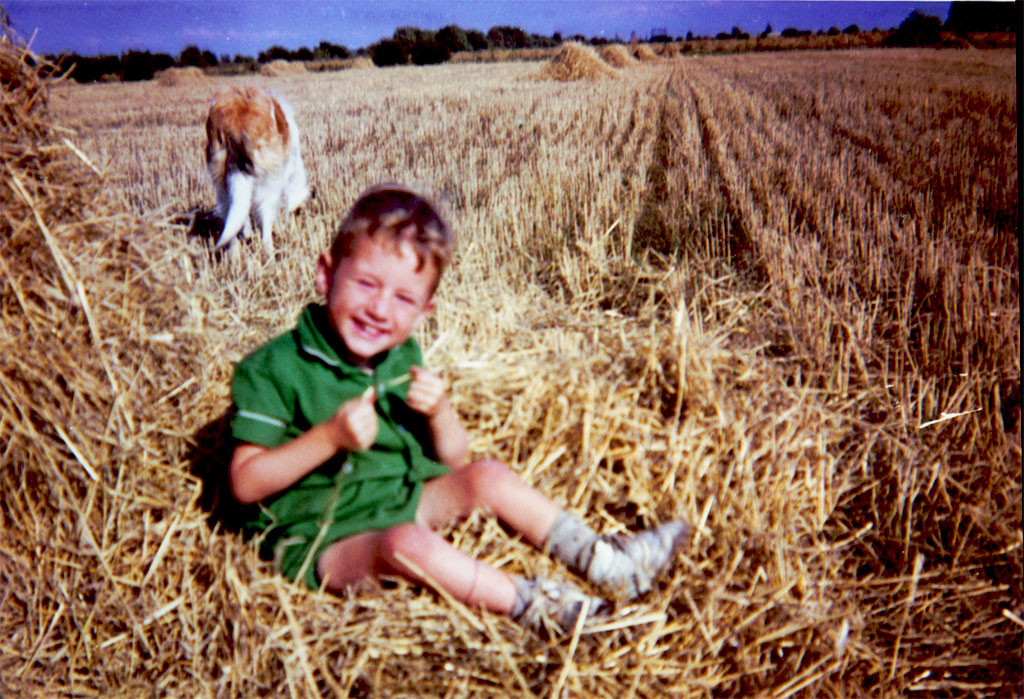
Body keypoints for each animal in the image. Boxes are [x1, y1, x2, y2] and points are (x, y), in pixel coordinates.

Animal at [201, 85, 309, 252]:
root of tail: (236, 115)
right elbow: (281, 206)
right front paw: (282, 226)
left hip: (220, 180)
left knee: (231, 213)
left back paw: (235, 250)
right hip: (267, 179)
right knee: (265, 216)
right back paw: (268, 250)